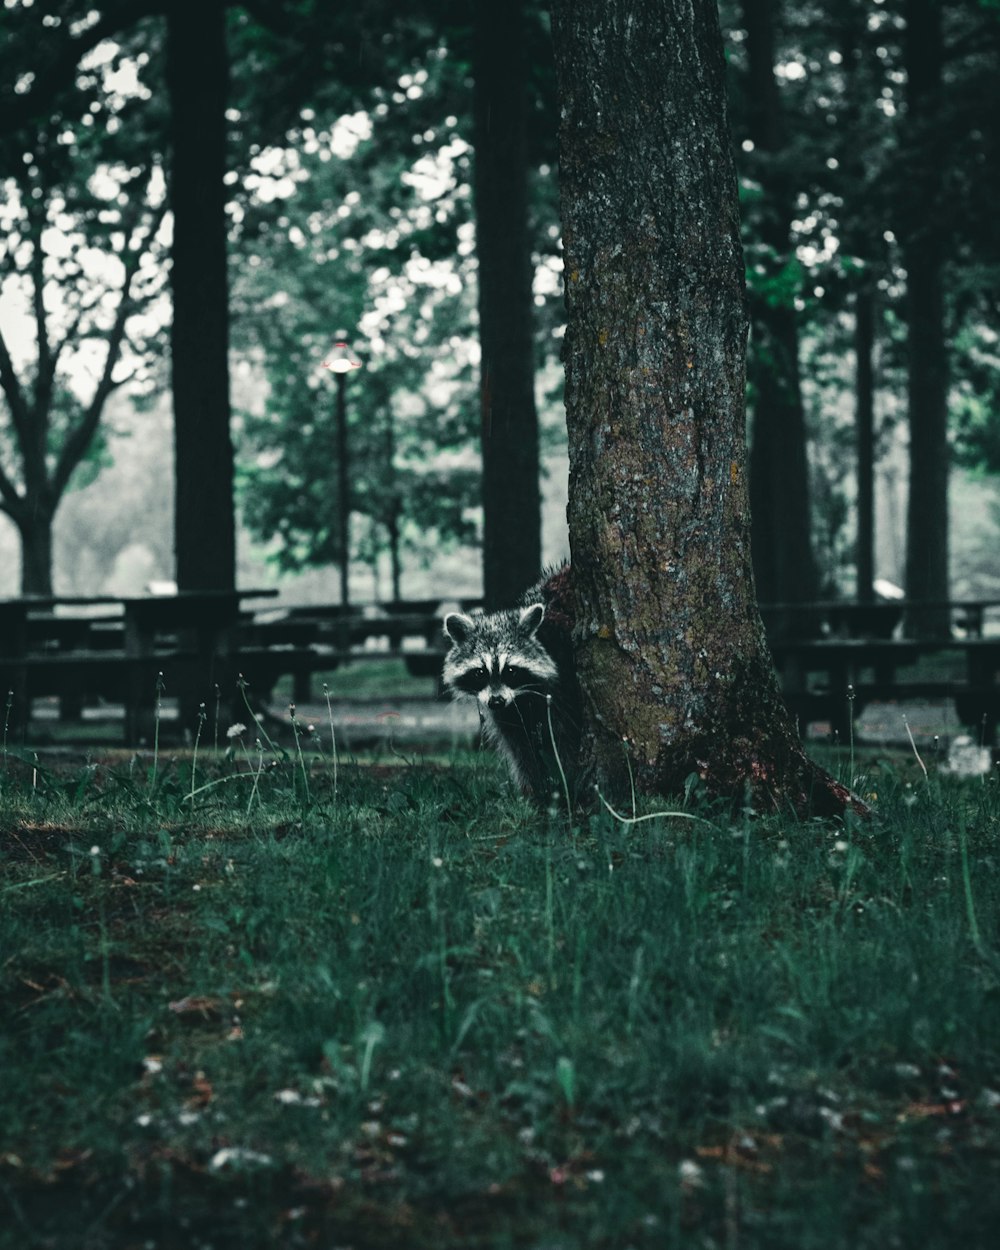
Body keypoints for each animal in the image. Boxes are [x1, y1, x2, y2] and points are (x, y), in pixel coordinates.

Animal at [442, 567, 582, 800]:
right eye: (480, 673)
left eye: (510, 671)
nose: (496, 701)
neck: (522, 697)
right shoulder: (507, 714)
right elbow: (521, 747)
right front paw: (533, 791)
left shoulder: (563, 689)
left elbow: (565, 740)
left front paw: (567, 784)